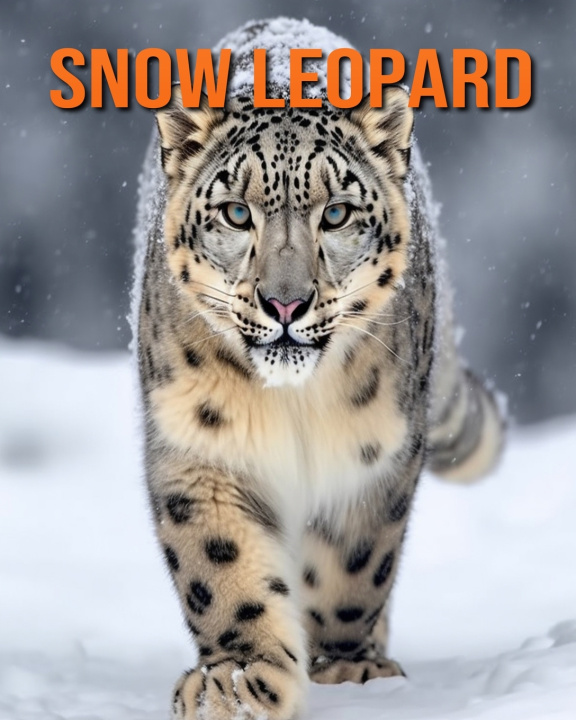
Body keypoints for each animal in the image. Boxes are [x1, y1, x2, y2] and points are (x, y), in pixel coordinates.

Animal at [132, 17, 506, 720]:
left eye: (336, 213)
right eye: (236, 212)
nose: (285, 302)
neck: (293, 404)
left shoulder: (374, 454)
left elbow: (352, 567)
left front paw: (347, 671)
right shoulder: (198, 447)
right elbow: (219, 566)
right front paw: (235, 682)